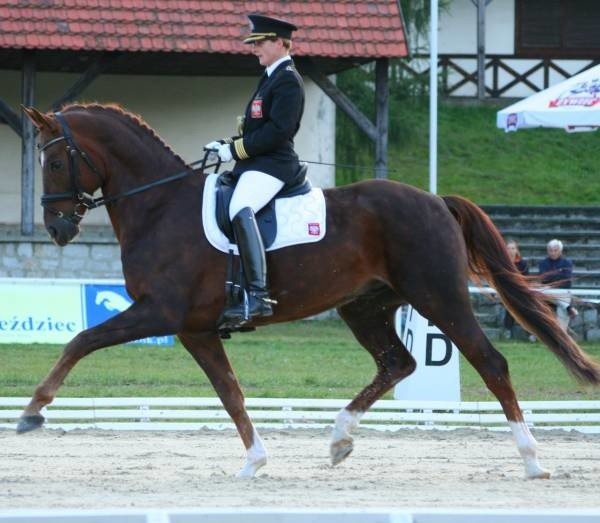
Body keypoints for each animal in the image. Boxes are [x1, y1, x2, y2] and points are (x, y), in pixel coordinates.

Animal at [18, 104, 600, 482]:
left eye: (55, 161)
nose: (58, 229)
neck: (160, 207)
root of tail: (435, 199)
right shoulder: (196, 329)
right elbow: (230, 392)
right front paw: (254, 462)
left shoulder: (160, 312)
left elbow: (81, 341)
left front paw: (33, 412)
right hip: (365, 306)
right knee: (398, 362)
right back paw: (339, 438)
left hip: (440, 296)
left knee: (490, 362)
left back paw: (532, 459)